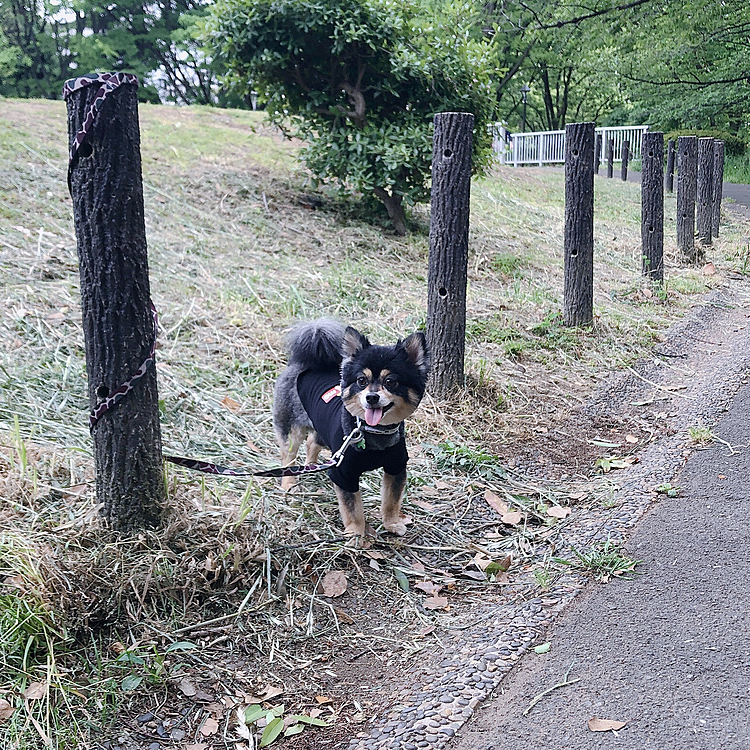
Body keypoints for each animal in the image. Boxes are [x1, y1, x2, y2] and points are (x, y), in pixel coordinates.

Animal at [274, 320, 432, 536]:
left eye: (390, 382)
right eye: (361, 381)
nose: (372, 397)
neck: (373, 431)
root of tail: (305, 364)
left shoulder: (396, 466)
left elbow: (391, 500)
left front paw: (391, 523)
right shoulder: (344, 474)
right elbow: (353, 509)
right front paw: (356, 534)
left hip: (321, 429)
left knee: (312, 442)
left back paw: (311, 466)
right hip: (291, 429)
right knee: (289, 456)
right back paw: (289, 483)